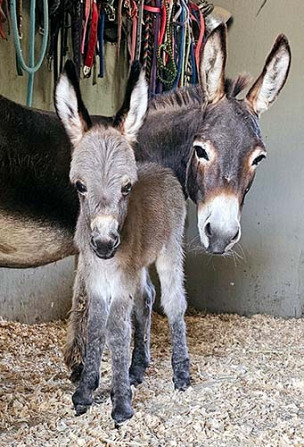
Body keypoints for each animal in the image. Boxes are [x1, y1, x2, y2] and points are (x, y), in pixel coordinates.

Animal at [54, 62, 188, 424]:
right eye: (80, 186)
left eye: (127, 187)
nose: (103, 244)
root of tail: (164, 170)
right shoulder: (98, 278)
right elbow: (95, 328)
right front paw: (85, 392)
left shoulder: (120, 277)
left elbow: (116, 331)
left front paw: (121, 405)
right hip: (138, 265)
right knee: (146, 299)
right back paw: (137, 368)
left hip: (169, 250)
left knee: (173, 302)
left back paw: (181, 373)